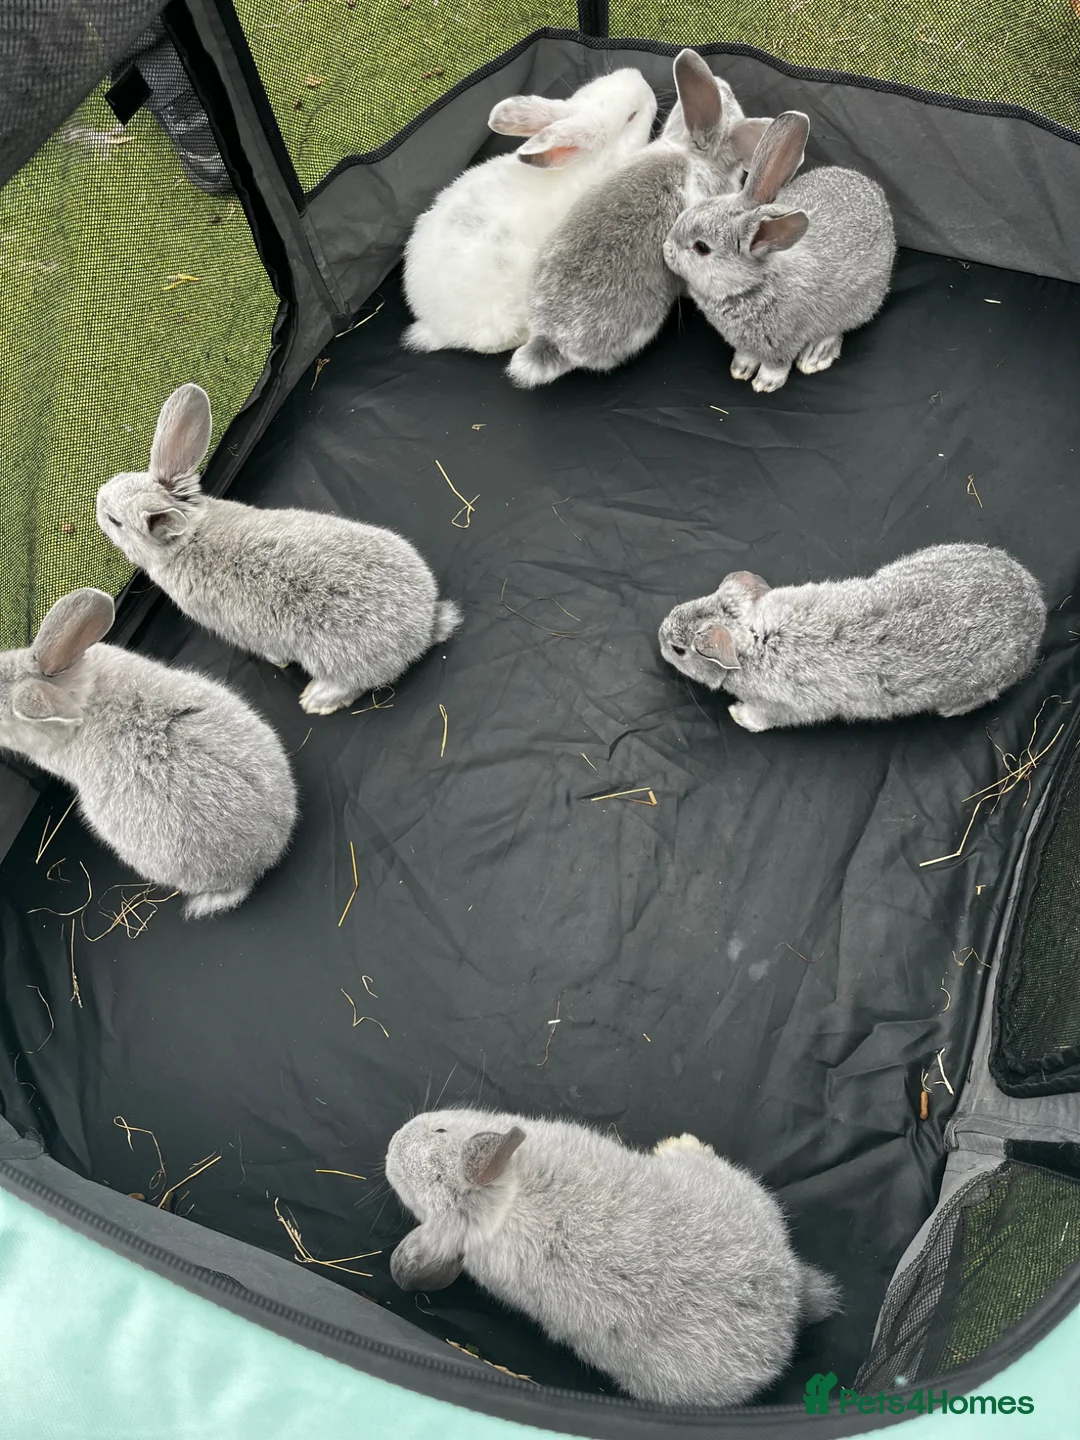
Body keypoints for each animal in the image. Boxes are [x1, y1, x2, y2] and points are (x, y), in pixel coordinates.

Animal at [96, 384, 462, 715]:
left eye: (115, 520)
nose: (98, 497)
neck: (188, 538)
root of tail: (424, 627)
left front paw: (279, 662)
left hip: (339, 661)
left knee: (355, 685)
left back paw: (315, 700)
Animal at [658, 545, 1046, 733]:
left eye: (678, 650)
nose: (660, 636)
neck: (754, 640)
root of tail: (1036, 605)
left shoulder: (783, 706)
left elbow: (764, 718)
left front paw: (738, 716)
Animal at [663, 110, 896, 392]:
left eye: (701, 247)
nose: (666, 248)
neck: (753, 285)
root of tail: (878, 194)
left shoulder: (783, 342)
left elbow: (777, 364)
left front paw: (765, 383)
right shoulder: (747, 343)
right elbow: (747, 355)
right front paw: (740, 369)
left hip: (861, 301)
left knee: (838, 328)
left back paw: (817, 354)